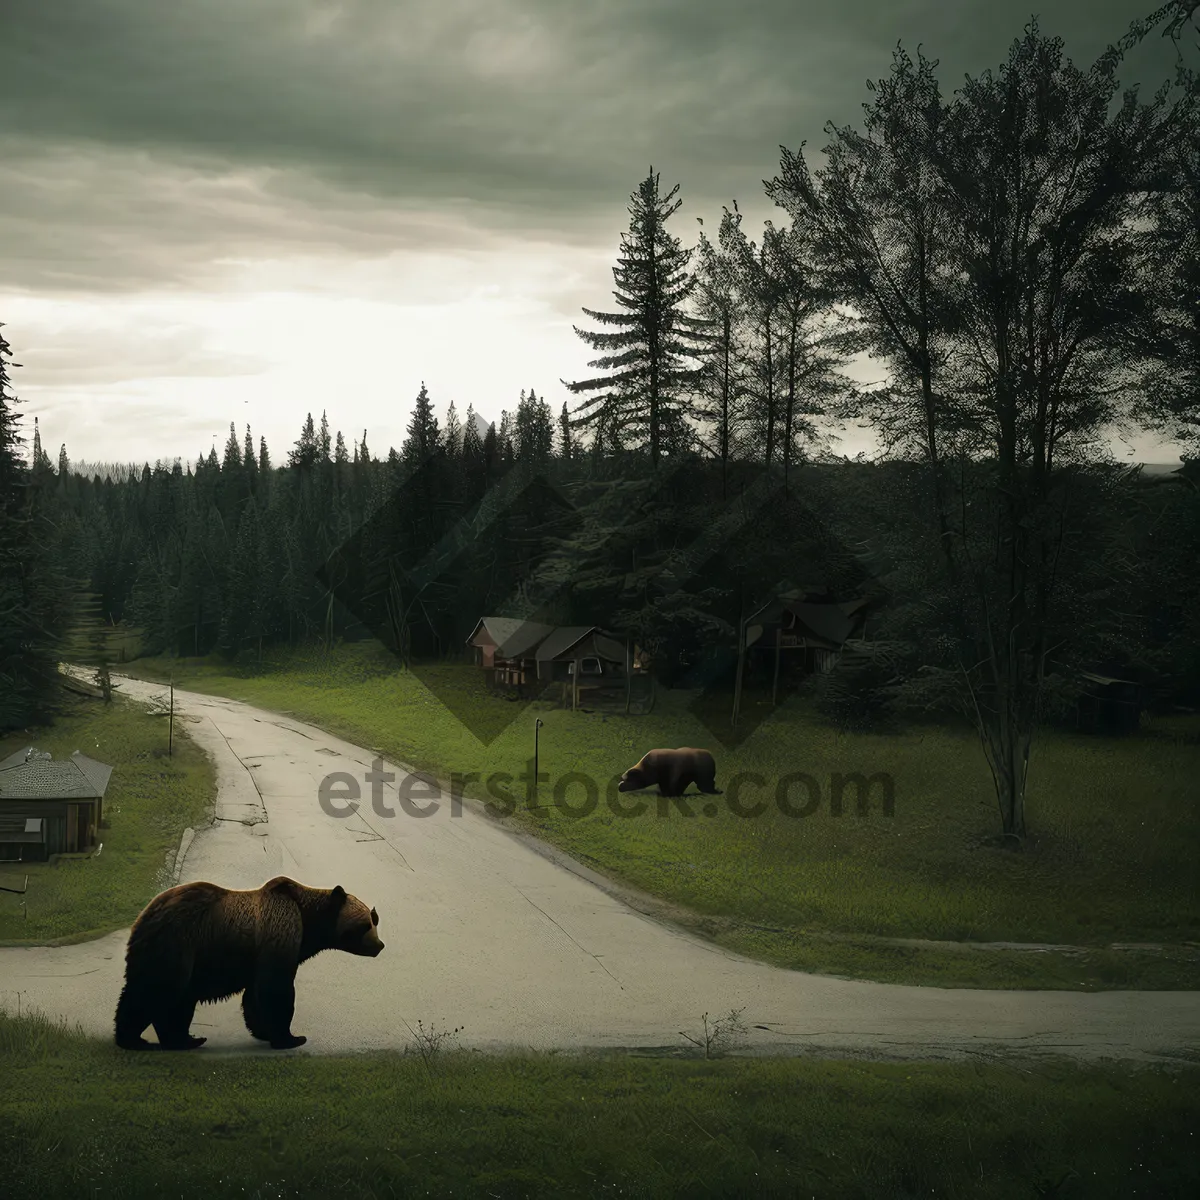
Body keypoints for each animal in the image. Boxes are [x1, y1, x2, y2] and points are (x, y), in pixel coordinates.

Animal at [114, 873, 381, 1051]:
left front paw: (264, 1030)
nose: (379, 945)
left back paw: (176, 1038)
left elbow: (255, 994)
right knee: (157, 992)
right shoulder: (280, 930)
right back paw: (147, 1039)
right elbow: (276, 989)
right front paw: (291, 1037)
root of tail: (143, 915)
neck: (308, 922)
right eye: (364, 925)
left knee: (168, 998)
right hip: (178, 943)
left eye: (374, 920)